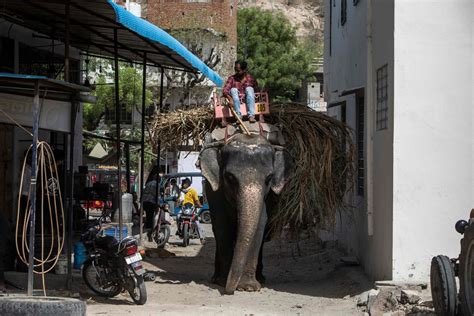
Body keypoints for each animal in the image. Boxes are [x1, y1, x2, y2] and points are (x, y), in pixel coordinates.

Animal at [199, 133, 292, 294]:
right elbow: (222, 226)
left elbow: (259, 227)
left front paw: (248, 287)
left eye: (269, 178)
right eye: (229, 177)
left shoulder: (266, 198)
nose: (230, 290)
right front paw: (223, 282)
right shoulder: (215, 193)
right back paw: (216, 278)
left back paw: (260, 278)